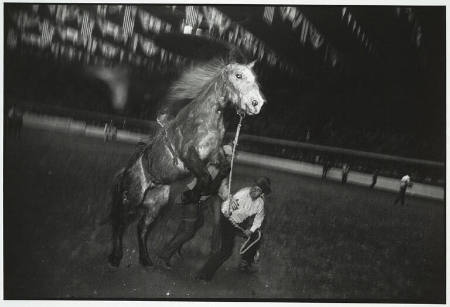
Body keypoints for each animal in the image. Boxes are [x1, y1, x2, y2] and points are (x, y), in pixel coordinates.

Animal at [107, 59, 266, 268]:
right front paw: (190, 195)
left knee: (142, 227)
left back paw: (146, 259)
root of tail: (127, 170)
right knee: (121, 222)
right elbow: (205, 176)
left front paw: (202, 193)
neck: (204, 120)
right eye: (238, 75)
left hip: (156, 203)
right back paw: (116, 257)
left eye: (255, 78)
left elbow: (223, 169)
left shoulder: (214, 154)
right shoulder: (189, 155)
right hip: (133, 198)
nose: (257, 103)